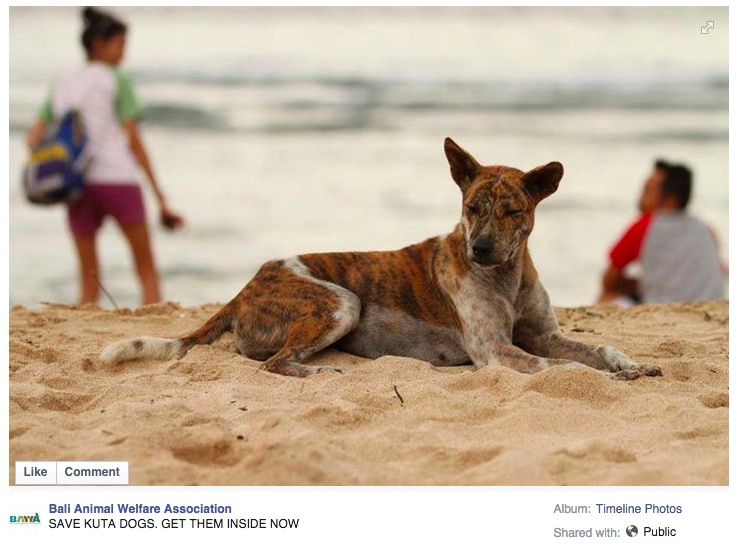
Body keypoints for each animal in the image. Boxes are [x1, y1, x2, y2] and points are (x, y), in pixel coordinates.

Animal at [101, 138, 661, 380]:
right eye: (471, 207)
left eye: (512, 211)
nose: (479, 248)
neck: (505, 276)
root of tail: (245, 287)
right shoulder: (497, 351)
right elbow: (564, 368)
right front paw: (607, 377)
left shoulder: (543, 334)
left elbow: (598, 348)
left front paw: (631, 363)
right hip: (340, 302)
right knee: (277, 363)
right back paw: (320, 372)